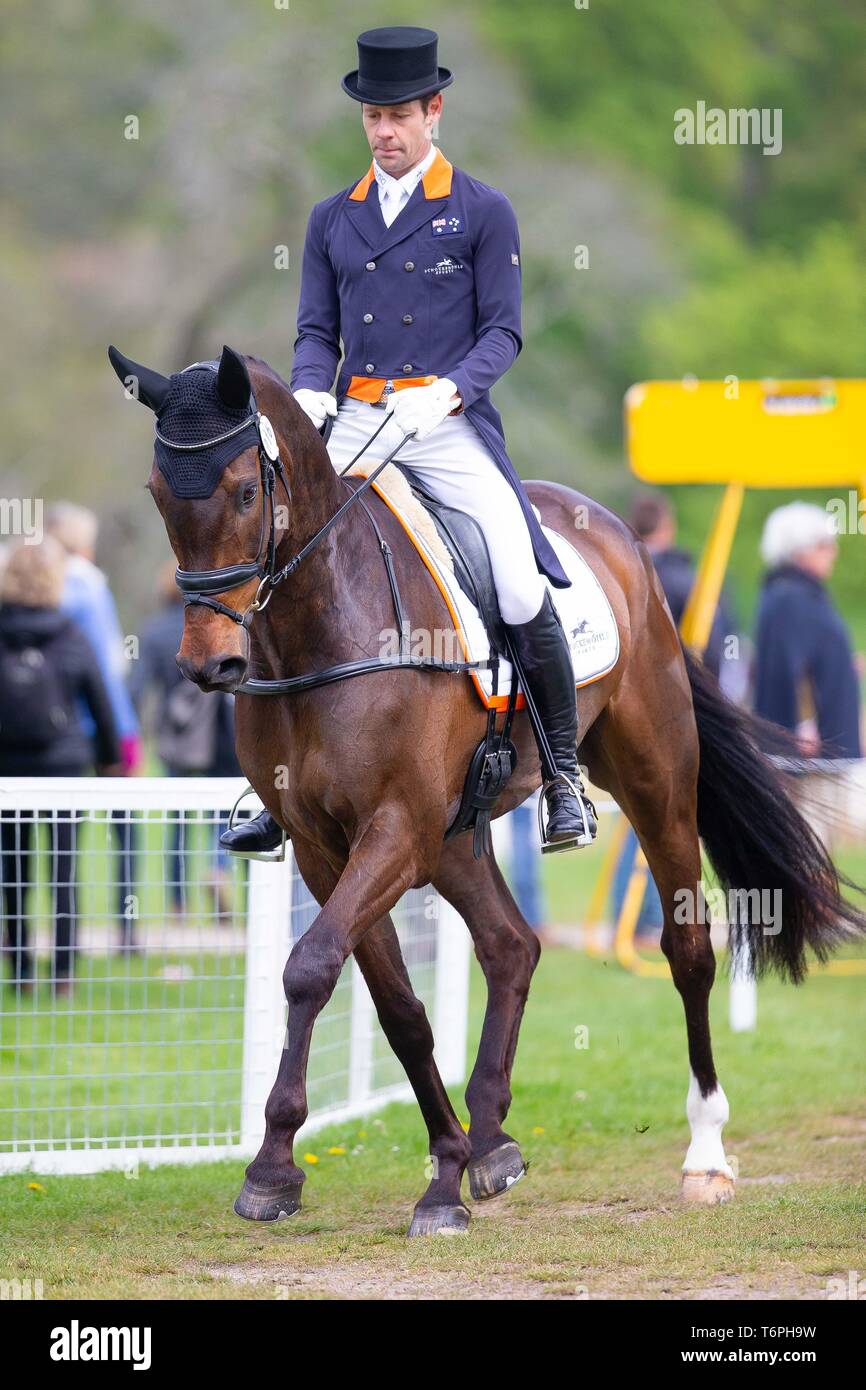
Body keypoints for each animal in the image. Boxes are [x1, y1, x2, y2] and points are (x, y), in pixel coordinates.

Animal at [110, 343, 865, 1235]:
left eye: (245, 490)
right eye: (159, 493)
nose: (208, 665)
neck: (321, 625)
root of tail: (615, 535)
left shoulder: (394, 831)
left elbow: (310, 967)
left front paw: (274, 1166)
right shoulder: (331, 847)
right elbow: (395, 1006)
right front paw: (439, 1165)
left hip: (651, 782)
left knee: (687, 950)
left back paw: (706, 1154)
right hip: (456, 838)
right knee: (512, 946)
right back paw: (493, 1141)